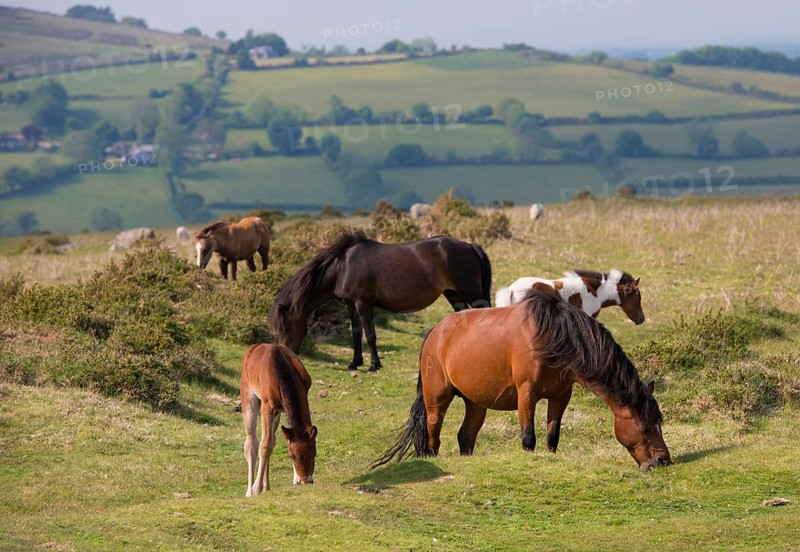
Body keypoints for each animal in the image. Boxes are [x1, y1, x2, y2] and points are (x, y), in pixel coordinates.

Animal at [240, 343, 317, 496]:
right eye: (292, 456)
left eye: (314, 454)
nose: (306, 480)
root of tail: (252, 349)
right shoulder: (267, 407)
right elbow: (264, 445)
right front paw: (256, 488)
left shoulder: (300, 398)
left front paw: (295, 479)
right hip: (249, 399)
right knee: (252, 442)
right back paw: (250, 491)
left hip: (277, 414)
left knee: (271, 439)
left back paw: (266, 486)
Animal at [270, 231, 492, 372]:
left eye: (286, 327)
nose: (284, 355)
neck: (343, 267)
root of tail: (470, 246)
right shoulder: (351, 307)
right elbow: (356, 334)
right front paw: (355, 363)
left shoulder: (363, 305)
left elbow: (370, 335)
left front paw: (374, 365)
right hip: (454, 295)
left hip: (472, 294)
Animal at [371, 289, 671, 472]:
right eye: (644, 426)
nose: (663, 460)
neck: (552, 336)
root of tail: (435, 332)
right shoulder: (526, 394)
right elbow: (529, 438)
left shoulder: (560, 395)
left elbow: (552, 436)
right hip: (437, 400)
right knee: (433, 436)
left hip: (475, 402)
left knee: (465, 437)